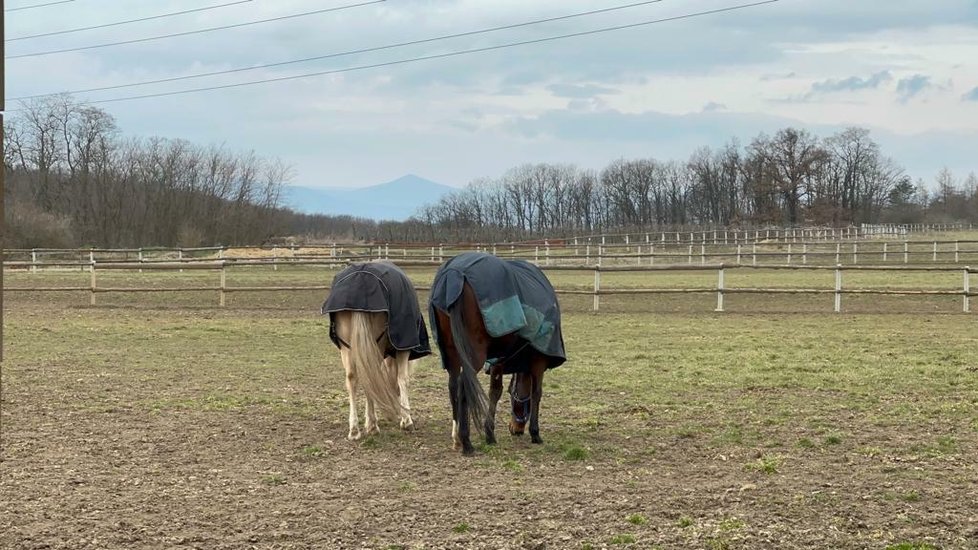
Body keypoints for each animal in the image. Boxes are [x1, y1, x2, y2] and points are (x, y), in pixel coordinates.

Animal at [320, 260, 430, 442]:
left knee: (354, 379)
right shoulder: (403, 349)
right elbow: (402, 379)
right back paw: (372, 426)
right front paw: (406, 420)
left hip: (347, 348)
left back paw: (355, 430)